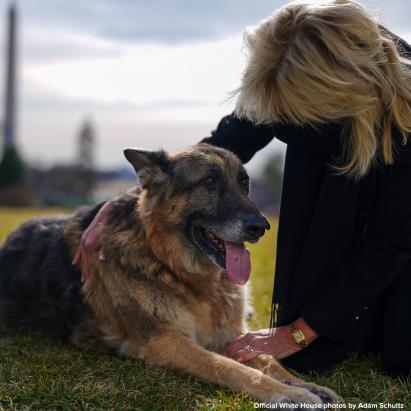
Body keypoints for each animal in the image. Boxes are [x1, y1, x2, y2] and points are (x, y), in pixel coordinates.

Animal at [0, 144, 342, 406]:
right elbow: (230, 367)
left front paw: (303, 384)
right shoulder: (166, 342)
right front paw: (288, 393)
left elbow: (268, 359)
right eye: (208, 182)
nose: (261, 227)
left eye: (245, 183)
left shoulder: (232, 335)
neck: (173, 267)